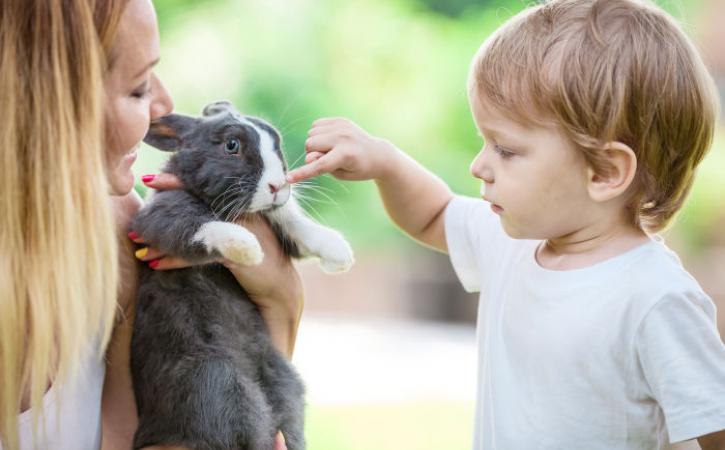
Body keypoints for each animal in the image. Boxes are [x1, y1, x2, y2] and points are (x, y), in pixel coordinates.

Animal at [132, 101, 354, 450]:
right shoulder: (159, 217)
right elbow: (200, 224)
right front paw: (248, 248)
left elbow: (292, 221)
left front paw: (338, 253)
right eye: (231, 145)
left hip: (284, 384)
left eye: (276, 143)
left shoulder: (280, 226)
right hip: (218, 384)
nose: (278, 186)